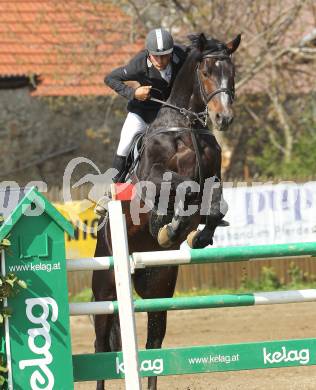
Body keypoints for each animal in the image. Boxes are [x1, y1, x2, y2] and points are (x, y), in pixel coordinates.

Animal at [92, 32, 241, 388]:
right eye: (206, 72)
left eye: (233, 71)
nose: (224, 118)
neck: (185, 126)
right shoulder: (154, 179)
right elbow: (178, 186)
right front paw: (167, 224)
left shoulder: (213, 178)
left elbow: (214, 205)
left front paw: (194, 236)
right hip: (104, 287)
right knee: (102, 344)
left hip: (158, 285)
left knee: (153, 342)